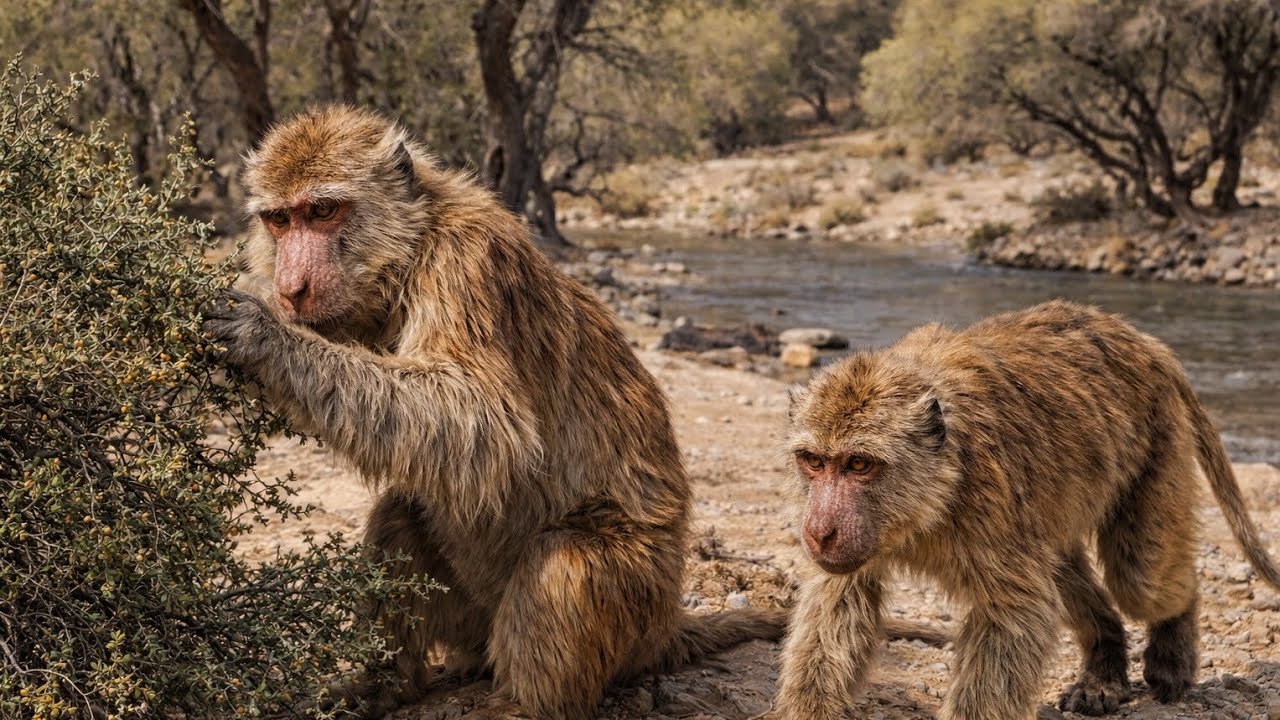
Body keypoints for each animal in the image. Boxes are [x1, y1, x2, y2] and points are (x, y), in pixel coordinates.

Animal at [772, 300, 1280, 720]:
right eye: (814, 462)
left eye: (859, 464)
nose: (819, 532)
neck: (933, 492)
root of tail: (1141, 340)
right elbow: (839, 599)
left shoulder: (989, 506)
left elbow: (1014, 615)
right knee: (1067, 570)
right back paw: (1105, 664)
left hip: (1160, 443)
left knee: (1142, 580)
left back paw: (1173, 647)